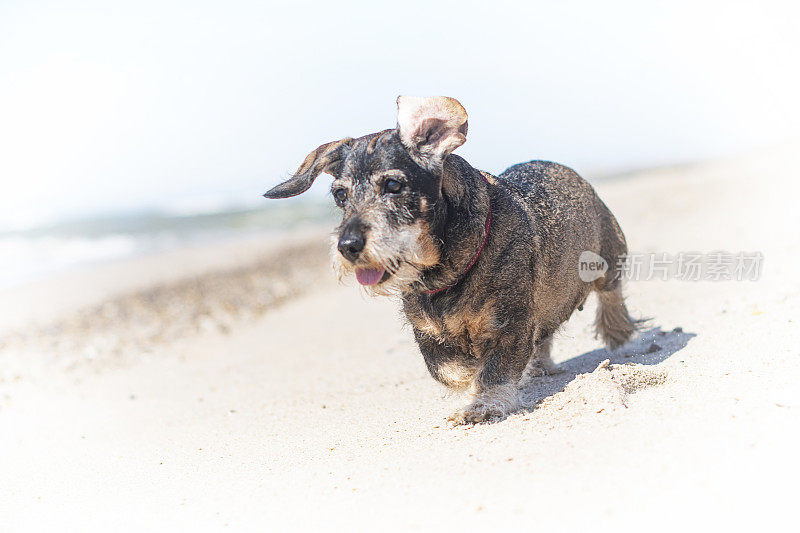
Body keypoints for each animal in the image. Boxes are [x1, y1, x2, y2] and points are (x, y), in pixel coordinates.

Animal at [262, 95, 636, 424]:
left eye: (393, 185)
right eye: (340, 194)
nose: (348, 246)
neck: (445, 273)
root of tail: (564, 168)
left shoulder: (509, 322)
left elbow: (494, 369)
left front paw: (483, 403)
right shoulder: (427, 334)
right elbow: (449, 369)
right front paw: (471, 388)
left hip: (607, 255)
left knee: (611, 294)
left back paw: (617, 330)